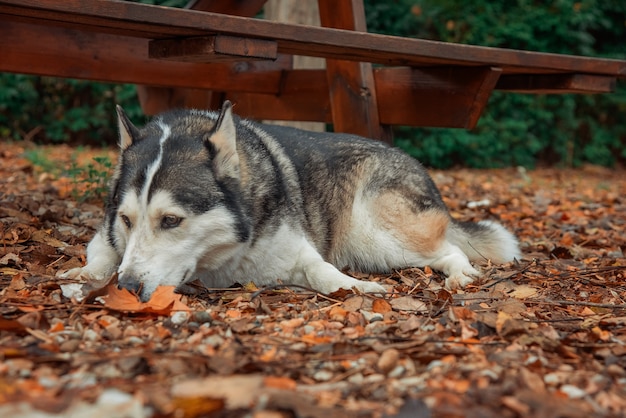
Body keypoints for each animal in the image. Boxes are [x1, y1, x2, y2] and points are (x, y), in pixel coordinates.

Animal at [62, 103, 516, 302]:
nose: (127, 288)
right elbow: (101, 255)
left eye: (171, 221)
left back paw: (460, 275)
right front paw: (85, 277)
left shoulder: (299, 251)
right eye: (126, 220)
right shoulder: (106, 236)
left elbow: (324, 272)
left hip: (378, 236)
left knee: (450, 248)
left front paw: (357, 287)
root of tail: (418, 167)